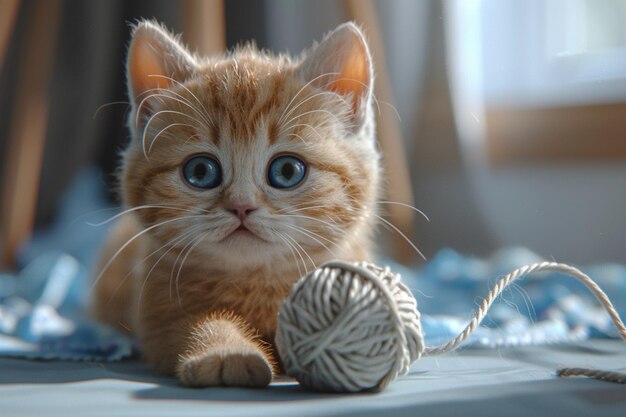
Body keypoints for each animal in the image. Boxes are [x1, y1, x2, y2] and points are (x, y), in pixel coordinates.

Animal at [91, 20, 378, 386]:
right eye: (200, 171)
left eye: (287, 171)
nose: (242, 206)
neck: (255, 282)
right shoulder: (158, 314)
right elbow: (194, 324)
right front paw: (226, 352)